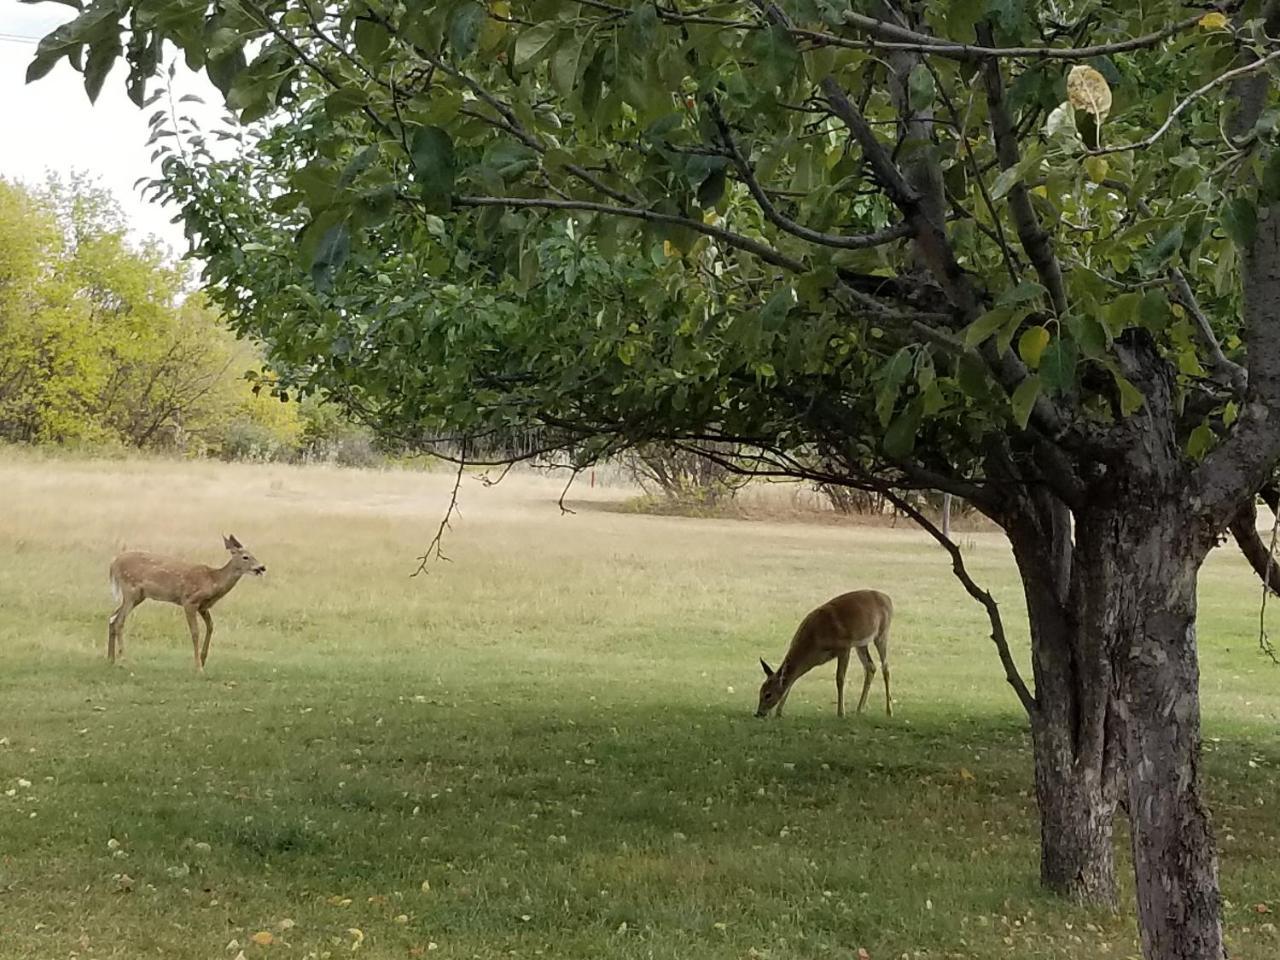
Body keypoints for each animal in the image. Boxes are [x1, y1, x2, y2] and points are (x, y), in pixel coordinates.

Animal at [109, 537, 267, 670]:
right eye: (245, 557)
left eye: (253, 554)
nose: (262, 567)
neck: (213, 581)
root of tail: (113, 564)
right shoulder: (189, 601)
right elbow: (195, 632)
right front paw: (198, 667)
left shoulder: (203, 607)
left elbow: (211, 627)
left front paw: (203, 659)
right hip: (131, 590)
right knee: (119, 620)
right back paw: (124, 659)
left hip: (138, 596)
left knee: (112, 617)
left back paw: (111, 658)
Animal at [752, 591, 896, 716]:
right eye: (760, 691)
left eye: (768, 694)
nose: (758, 713)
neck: (814, 641)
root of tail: (888, 598)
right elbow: (792, 681)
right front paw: (779, 712)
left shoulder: (844, 647)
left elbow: (840, 678)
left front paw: (841, 713)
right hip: (861, 643)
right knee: (871, 667)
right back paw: (859, 709)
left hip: (882, 633)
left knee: (885, 668)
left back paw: (889, 711)